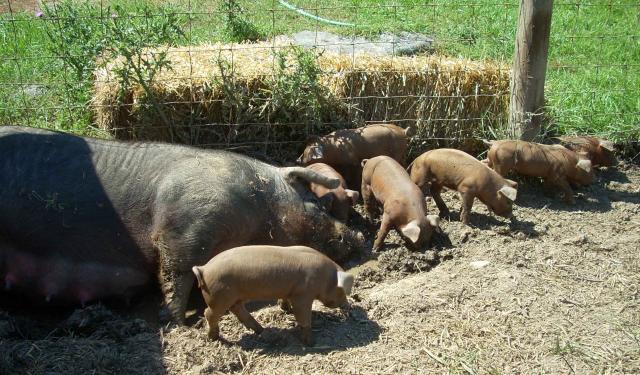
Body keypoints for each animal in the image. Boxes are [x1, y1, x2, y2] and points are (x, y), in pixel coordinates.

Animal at [0, 126, 362, 324]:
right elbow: (176, 270)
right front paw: (173, 321)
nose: (358, 237)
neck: (258, 207)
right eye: (315, 202)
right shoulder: (186, 223)